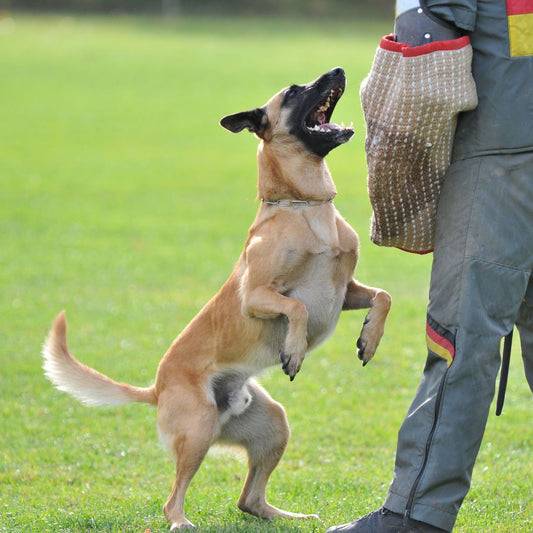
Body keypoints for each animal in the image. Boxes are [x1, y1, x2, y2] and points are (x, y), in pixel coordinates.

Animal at [42, 68, 390, 528]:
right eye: (293, 92)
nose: (338, 71)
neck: (304, 206)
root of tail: (156, 388)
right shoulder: (255, 296)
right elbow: (296, 307)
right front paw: (294, 351)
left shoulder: (345, 290)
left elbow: (383, 296)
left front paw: (370, 339)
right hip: (199, 430)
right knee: (173, 497)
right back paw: (180, 522)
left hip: (272, 424)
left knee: (250, 500)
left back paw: (292, 517)